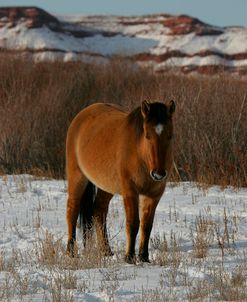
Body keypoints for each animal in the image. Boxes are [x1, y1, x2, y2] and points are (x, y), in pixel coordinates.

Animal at [65, 100, 174, 264]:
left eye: (169, 136)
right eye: (147, 135)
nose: (158, 174)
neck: (140, 155)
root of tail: (81, 116)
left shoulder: (154, 195)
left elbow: (147, 225)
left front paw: (144, 257)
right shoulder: (130, 192)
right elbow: (133, 223)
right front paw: (129, 257)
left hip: (106, 187)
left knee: (99, 211)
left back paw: (106, 251)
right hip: (77, 177)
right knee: (72, 209)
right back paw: (71, 252)